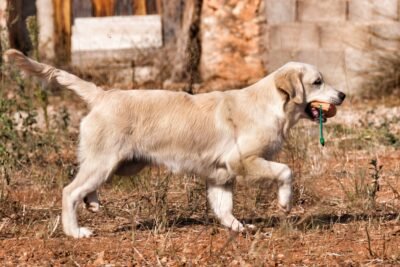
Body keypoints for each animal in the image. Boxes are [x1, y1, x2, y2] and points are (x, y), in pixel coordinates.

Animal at [3, 49, 344, 240]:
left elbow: (224, 209)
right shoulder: (243, 161)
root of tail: (102, 94)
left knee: (85, 187)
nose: (342, 95)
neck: (270, 104)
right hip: (105, 162)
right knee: (70, 191)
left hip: (119, 164)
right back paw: (74, 231)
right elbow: (286, 171)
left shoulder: (220, 176)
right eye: (317, 82)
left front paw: (238, 229)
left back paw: (93, 203)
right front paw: (285, 203)